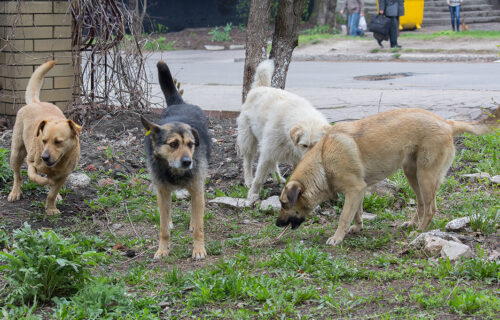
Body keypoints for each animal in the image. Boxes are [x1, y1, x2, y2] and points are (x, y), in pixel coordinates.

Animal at [7, 60, 81, 215]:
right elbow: (34, 177)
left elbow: (52, 192)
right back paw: (15, 192)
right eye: (43, 140)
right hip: (17, 152)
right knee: (17, 175)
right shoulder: (31, 163)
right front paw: (45, 182)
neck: (57, 164)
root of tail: (36, 102)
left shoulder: (64, 175)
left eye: (58, 142)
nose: (44, 157)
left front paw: (51, 207)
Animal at [141, 62, 211, 260]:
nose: (188, 162)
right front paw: (162, 249)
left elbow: (199, 227)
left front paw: (198, 249)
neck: (175, 171)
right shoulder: (163, 191)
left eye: (190, 144)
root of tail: (180, 104)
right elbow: (163, 228)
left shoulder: (197, 189)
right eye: (173, 144)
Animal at [237, 60, 330, 204]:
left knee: (273, 162)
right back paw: (248, 181)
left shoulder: (295, 157)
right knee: (248, 162)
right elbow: (259, 177)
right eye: (304, 145)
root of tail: (260, 87)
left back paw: (277, 178)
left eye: (317, 145)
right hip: (249, 140)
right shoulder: (267, 152)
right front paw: (252, 194)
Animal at [276, 107, 500, 245]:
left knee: (431, 208)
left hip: (426, 177)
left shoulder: (354, 190)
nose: (277, 224)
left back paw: (420, 231)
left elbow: (344, 217)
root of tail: (446, 123)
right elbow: (356, 213)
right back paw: (412, 224)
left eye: (285, 204)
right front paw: (357, 227)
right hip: (412, 174)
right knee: (421, 203)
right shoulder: (358, 191)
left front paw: (337, 237)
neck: (323, 160)